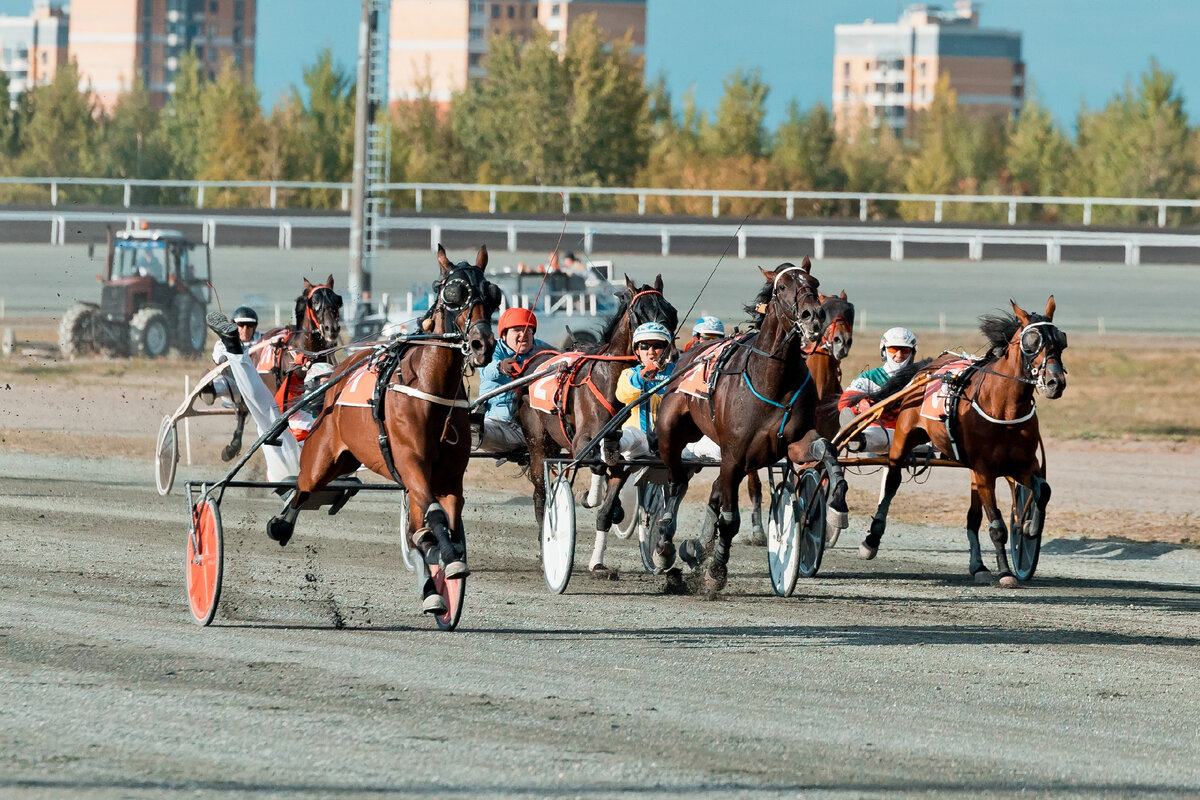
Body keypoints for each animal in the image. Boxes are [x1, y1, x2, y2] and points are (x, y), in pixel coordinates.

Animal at [220, 278, 345, 460]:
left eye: (336, 299)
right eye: (314, 302)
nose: (332, 328)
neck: (307, 353)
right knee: (244, 408)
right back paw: (233, 446)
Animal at [268, 248, 501, 614]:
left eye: (492, 295)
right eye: (453, 294)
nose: (482, 344)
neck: (429, 388)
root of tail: (346, 368)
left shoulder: (448, 478)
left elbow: (440, 522)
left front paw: (446, 566)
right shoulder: (411, 464)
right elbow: (433, 517)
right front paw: (449, 559)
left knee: (419, 531)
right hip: (325, 457)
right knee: (303, 487)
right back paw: (280, 525)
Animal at [516, 275, 681, 568]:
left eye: (671, 312)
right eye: (639, 314)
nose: (667, 355)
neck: (610, 380)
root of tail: (536, 361)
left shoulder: (623, 454)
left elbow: (606, 505)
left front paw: (597, 560)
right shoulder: (582, 439)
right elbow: (594, 462)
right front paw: (590, 497)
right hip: (537, 442)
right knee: (540, 491)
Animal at [648, 260, 854, 592]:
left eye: (814, 282)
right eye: (782, 287)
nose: (812, 315)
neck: (771, 378)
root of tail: (687, 355)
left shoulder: (793, 441)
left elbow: (826, 448)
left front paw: (837, 499)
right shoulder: (734, 454)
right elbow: (730, 519)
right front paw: (716, 570)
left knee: (713, 492)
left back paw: (697, 547)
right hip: (673, 432)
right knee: (677, 482)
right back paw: (665, 544)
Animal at [854, 297, 1070, 585]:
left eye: (1061, 339)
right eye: (1032, 341)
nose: (1055, 382)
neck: (1004, 408)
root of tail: (930, 365)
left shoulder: (1022, 465)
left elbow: (1042, 490)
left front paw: (1028, 526)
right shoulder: (985, 470)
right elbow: (997, 526)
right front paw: (1005, 572)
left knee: (973, 516)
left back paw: (978, 566)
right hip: (903, 439)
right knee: (892, 481)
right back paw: (871, 540)